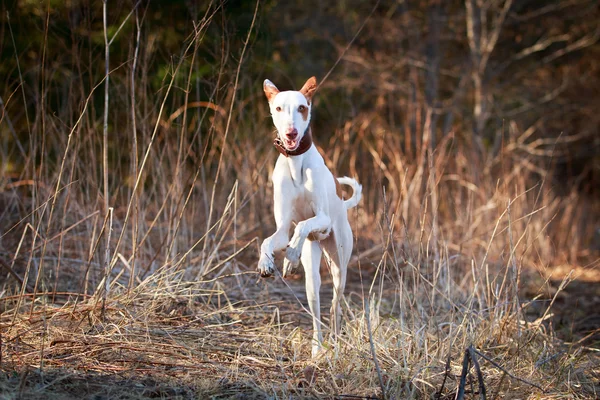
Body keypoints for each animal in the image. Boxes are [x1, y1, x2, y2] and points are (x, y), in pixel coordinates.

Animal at [258, 76, 360, 356]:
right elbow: (270, 240)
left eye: (302, 107)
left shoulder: (322, 220)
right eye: (279, 108)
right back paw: (316, 348)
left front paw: (290, 255)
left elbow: (303, 225)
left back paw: (336, 344)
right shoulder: (282, 227)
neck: (296, 164)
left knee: (335, 308)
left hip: (339, 267)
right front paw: (266, 262)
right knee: (316, 310)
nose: (291, 133)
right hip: (312, 277)